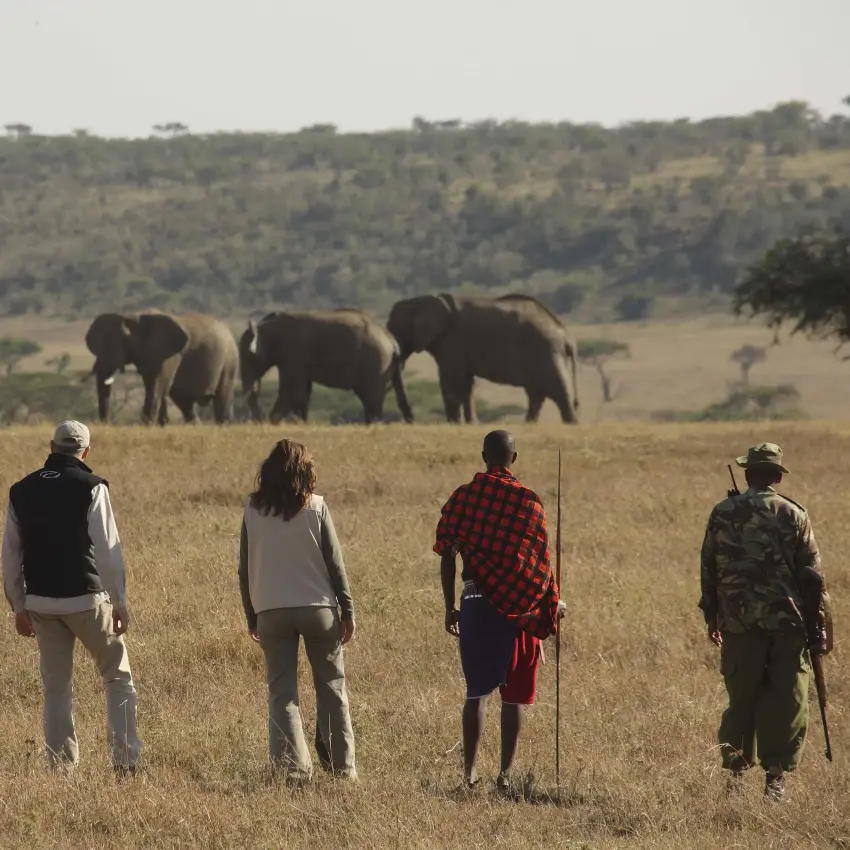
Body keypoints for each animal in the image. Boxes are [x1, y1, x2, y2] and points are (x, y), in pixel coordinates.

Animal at [84, 311, 239, 425]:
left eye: (125, 340)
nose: (106, 423)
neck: (135, 318)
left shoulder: (168, 355)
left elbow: (157, 384)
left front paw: (147, 425)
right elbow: (155, 384)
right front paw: (160, 424)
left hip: (229, 357)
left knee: (222, 392)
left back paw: (223, 424)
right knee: (181, 398)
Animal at [238, 309, 414, 424]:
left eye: (249, 357)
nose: (259, 420)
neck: (266, 326)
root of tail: (392, 342)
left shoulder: (293, 355)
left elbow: (292, 391)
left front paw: (274, 422)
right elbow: (303, 393)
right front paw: (301, 423)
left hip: (375, 365)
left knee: (372, 401)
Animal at [387, 293, 579, 423]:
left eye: (396, 329)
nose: (410, 420)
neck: (420, 300)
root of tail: (566, 335)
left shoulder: (452, 341)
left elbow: (450, 380)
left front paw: (453, 424)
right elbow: (466, 384)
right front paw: (470, 424)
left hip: (546, 351)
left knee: (557, 391)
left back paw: (570, 425)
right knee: (536, 394)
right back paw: (529, 425)